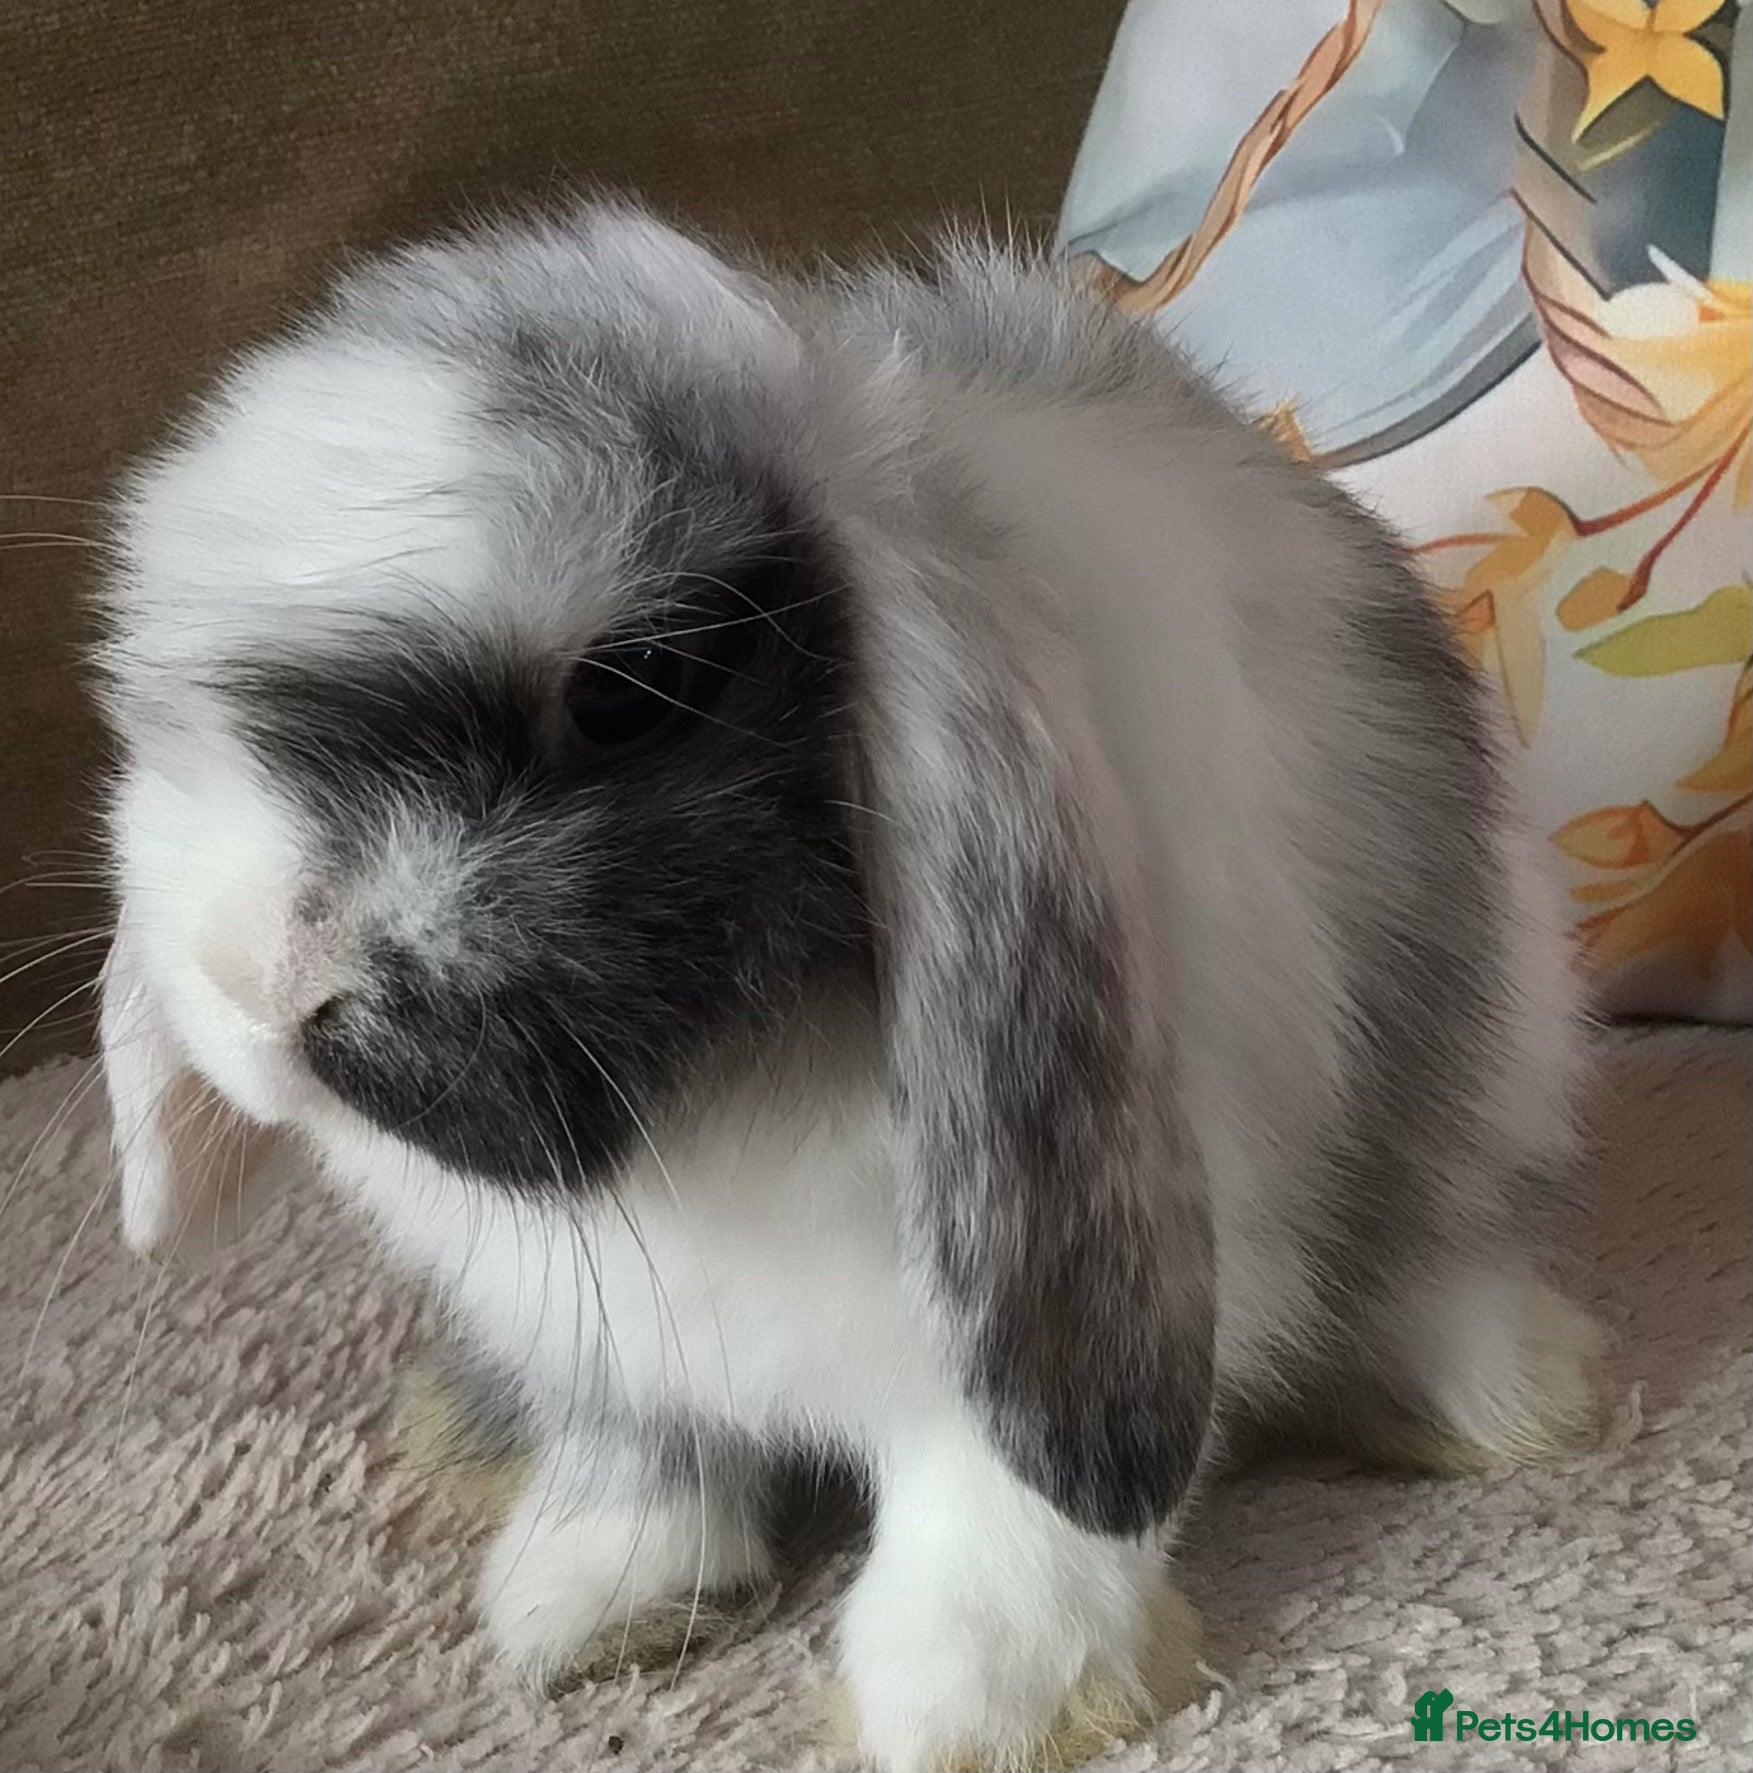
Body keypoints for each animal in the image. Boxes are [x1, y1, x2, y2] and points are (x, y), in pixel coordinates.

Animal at [93, 202, 1604, 1772]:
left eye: (629, 691)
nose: (258, 981)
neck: (719, 1107)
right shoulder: (604, 1338)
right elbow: (639, 1450)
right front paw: (587, 1598)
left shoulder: (1040, 1300)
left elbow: (1004, 1510)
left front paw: (981, 1702)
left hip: (1503, 1051)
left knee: (1440, 1235)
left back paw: (1492, 1390)